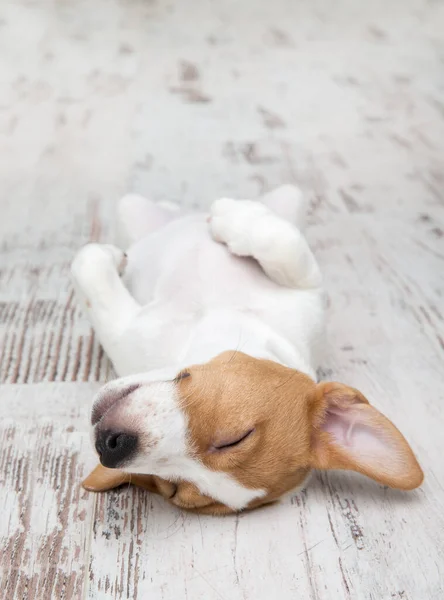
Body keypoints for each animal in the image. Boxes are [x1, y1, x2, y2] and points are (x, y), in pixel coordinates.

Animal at [73, 184, 424, 516]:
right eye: (238, 437)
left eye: (172, 486)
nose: (111, 445)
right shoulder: (308, 296)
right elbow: (285, 245)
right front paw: (231, 216)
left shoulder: (122, 331)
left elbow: (88, 268)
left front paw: (99, 256)